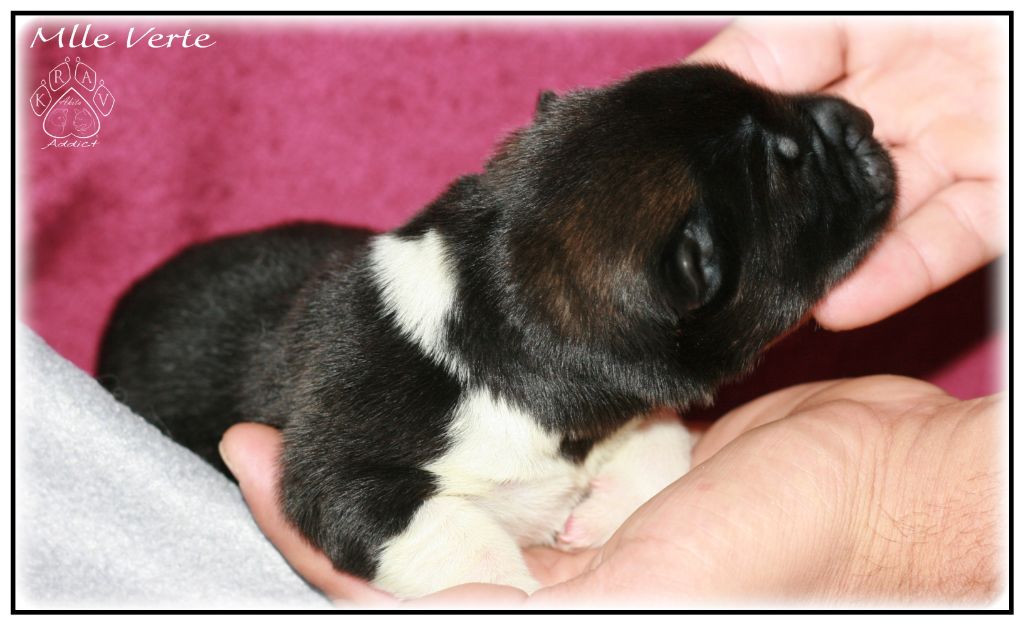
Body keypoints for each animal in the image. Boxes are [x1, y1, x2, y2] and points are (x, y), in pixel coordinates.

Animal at [97, 64, 895, 598]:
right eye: (789, 166)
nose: (858, 119)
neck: (497, 304)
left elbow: (661, 437)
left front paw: (602, 509)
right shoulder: (342, 473)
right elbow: (456, 536)